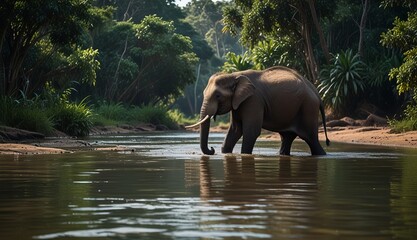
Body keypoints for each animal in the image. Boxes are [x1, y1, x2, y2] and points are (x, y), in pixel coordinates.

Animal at [185, 65, 328, 156]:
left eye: (218, 96)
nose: (212, 149)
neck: (234, 75)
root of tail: (317, 93)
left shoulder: (253, 100)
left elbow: (250, 131)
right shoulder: (239, 102)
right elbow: (235, 130)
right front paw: (225, 153)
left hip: (308, 107)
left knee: (311, 138)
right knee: (287, 137)